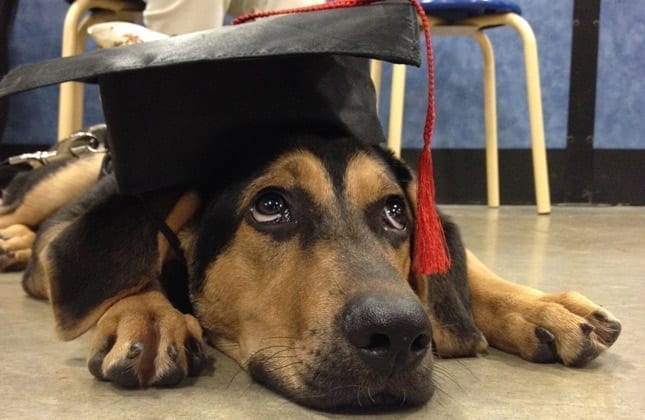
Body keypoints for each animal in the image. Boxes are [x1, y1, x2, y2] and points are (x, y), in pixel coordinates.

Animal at [1, 135, 624, 410]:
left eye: (396, 212)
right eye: (270, 206)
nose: (401, 333)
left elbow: (465, 268)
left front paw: (543, 307)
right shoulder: (75, 232)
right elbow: (128, 268)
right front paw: (151, 316)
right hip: (60, 186)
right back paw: (12, 241)